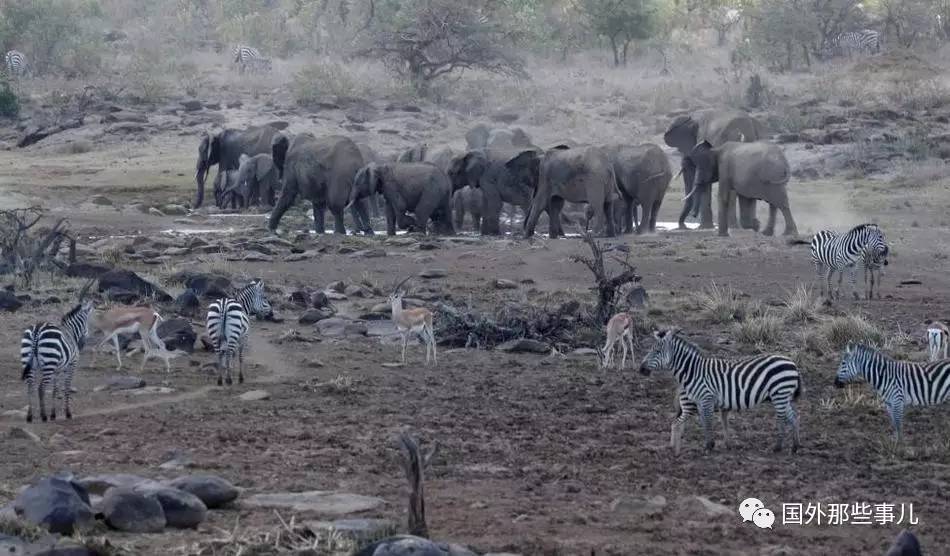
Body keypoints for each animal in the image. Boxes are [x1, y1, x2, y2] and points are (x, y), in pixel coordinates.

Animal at [640, 328, 804, 454]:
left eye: (656, 351)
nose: (641, 369)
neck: (693, 371)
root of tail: (792, 363)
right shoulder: (700, 401)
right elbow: (705, 422)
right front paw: (708, 445)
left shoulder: (707, 398)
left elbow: (708, 422)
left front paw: (709, 447)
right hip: (782, 395)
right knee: (793, 417)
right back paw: (795, 447)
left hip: (780, 393)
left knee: (782, 419)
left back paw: (777, 447)